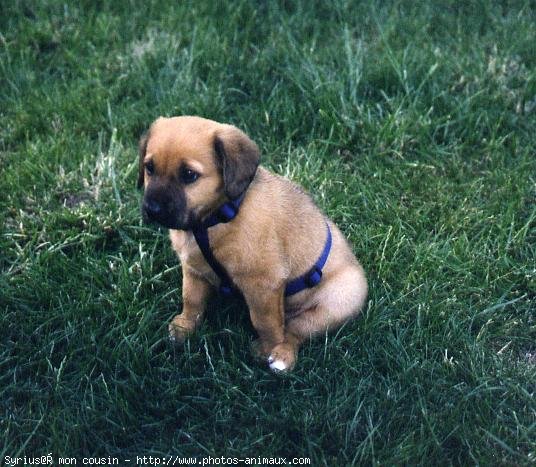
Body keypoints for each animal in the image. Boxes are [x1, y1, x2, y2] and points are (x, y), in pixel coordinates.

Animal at [137, 117, 368, 372]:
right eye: (149, 168)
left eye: (189, 175)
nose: (152, 210)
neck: (215, 218)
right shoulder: (193, 270)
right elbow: (191, 300)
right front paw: (184, 328)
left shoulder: (263, 285)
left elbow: (265, 322)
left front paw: (268, 349)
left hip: (335, 303)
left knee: (297, 330)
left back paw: (282, 356)